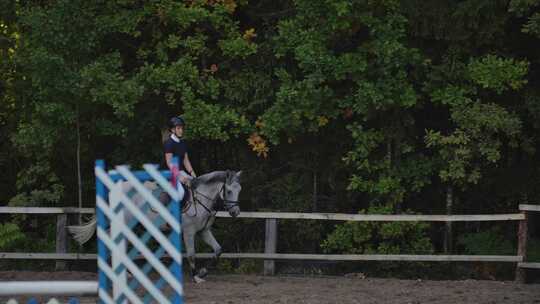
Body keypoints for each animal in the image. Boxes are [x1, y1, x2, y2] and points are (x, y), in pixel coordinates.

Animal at [68, 171, 242, 282]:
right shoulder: (189, 232)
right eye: (228, 191)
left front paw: (203, 273)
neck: (201, 199)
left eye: (239, 190)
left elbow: (218, 250)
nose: (235, 212)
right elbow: (192, 254)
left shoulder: (203, 231)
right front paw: (196, 277)